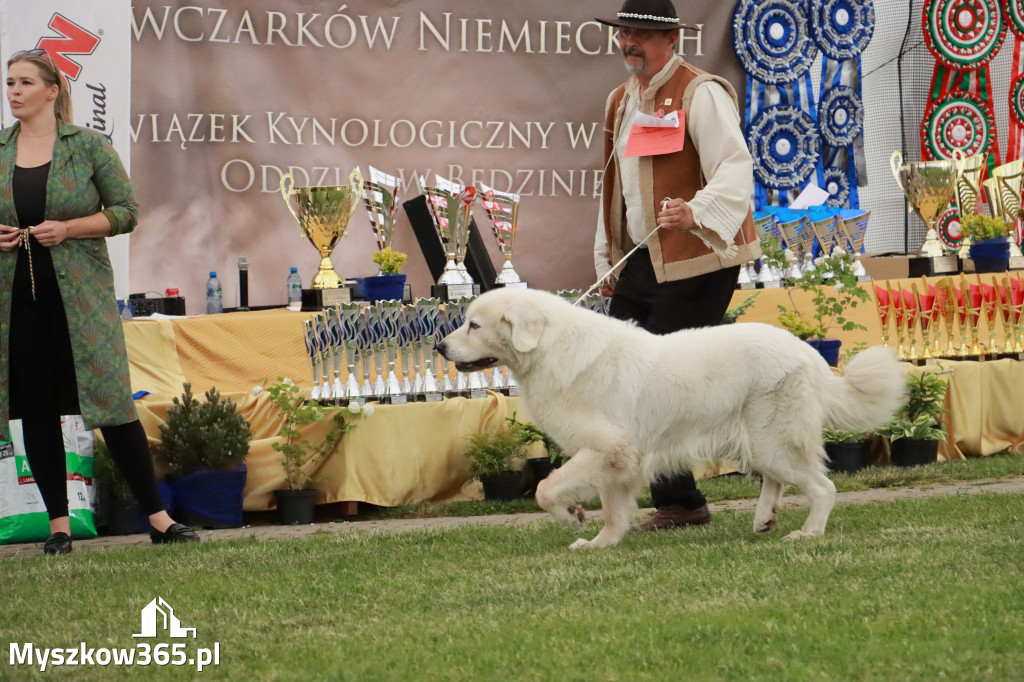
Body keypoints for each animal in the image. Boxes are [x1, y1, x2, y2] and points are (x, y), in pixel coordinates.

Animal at [436, 286, 901, 548]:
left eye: (474, 325)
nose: (440, 347)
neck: (550, 349)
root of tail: (808, 352)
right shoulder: (616, 458)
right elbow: (614, 509)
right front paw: (602, 543)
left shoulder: (608, 447)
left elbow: (546, 489)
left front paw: (571, 517)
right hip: (761, 442)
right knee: (777, 480)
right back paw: (764, 519)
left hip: (773, 439)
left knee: (822, 487)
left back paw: (808, 534)